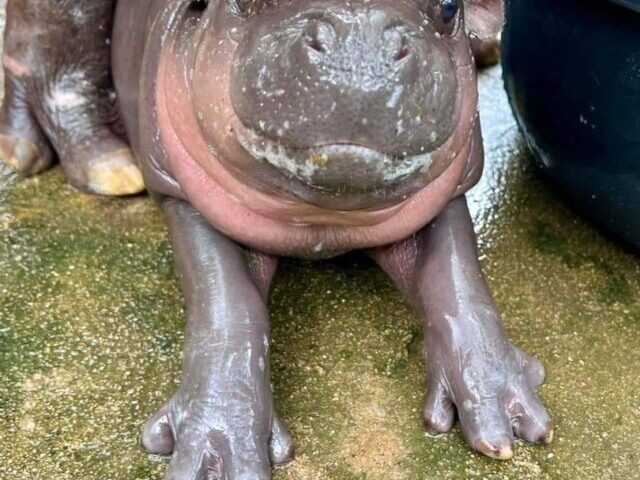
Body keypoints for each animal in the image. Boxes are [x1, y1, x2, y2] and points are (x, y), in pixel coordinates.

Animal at [0, 1, 552, 478]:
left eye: (448, 7)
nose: (360, 40)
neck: (322, 222)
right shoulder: (186, 196)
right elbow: (228, 306)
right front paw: (219, 454)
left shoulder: (445, 191)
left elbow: (457, 277)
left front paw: (509, 422)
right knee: (48, 44)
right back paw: (101, 166)